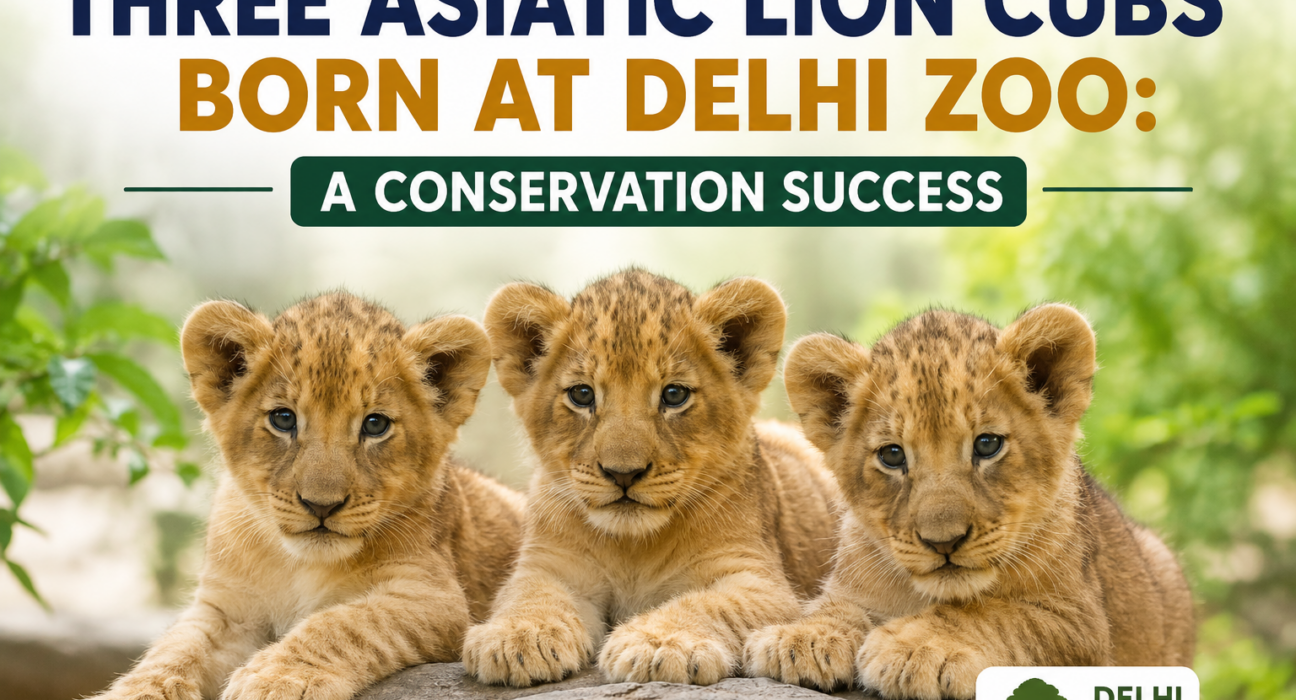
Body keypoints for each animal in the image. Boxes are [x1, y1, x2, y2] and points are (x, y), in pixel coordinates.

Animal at [92, 292, 525, 700]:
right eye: (283, 419)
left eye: (375, 424)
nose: (321, 505)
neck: (300, 564)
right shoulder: (226, 609)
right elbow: (175, 647)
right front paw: (136, 690)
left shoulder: (436, 599)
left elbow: (344, 623)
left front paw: (276, 678)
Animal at [462, 269, 841, 687]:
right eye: (582, 394)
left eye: (674, 395)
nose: (622, 473)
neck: (633, 550)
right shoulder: (548, 565)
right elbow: (531, 597)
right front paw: (516, 636)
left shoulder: (763, 583)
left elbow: (709, 604)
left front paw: (660, 644)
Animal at [744, 305, 1195, 699]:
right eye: (892, 455)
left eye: (987, 444)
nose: (943, 541)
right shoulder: (852, 585)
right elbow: (835, 606)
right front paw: (800, 637)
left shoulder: (1080, 625)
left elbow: (994, 614)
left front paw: (915, 648)